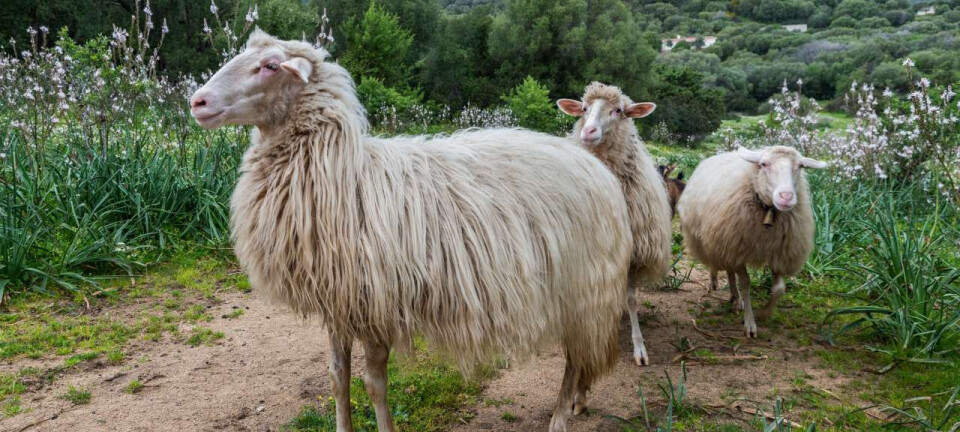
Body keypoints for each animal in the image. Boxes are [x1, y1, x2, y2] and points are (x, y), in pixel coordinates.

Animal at [189, 31, 632, 432]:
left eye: (270, 66)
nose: (197, 102)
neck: (344, 173)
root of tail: (594, 166)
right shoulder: (338, 302)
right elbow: (337, 378)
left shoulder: (376, 302)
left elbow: (374, 384)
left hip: (583, 289)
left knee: (575, 359)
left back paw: (560, 417)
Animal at [557, 82, 673, 369]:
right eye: (584, 108)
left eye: (619, 110)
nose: (588, 131)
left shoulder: (633, 255)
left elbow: (631, 300)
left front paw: (639, 348)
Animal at [677, 146, 827, 338]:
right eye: (763, 164)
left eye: (800, 166)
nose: (786, 197)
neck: (768, 211)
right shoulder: (738, 248)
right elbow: (746, 283)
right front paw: (750, 323)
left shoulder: (779, 253)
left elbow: (779, 289)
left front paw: (764, 313)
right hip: (720, 241)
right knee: (721, 267)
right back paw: (721, 286)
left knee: (729, 271)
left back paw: (734, 299)